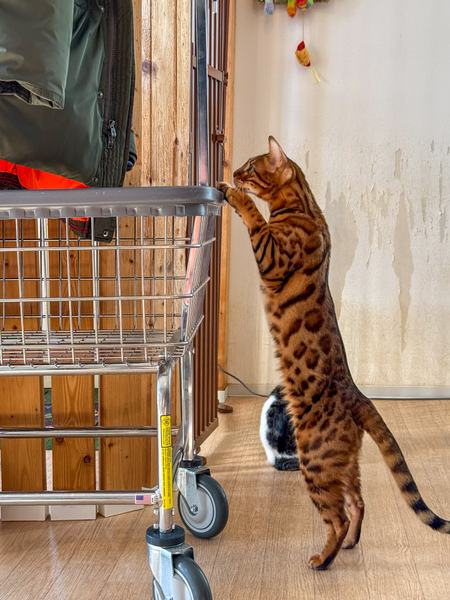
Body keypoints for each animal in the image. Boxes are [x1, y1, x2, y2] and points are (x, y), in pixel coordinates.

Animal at [218, 137, 450, 571]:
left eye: (251, 167)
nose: (235, 172)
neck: (305, 208)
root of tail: (358, 395)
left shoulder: (271, 253)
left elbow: (254, 217)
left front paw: (235, 195)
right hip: (344, 463)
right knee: (358, 501)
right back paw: (351, 544)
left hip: (316, 459)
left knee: (339, 515)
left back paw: (323, 558)